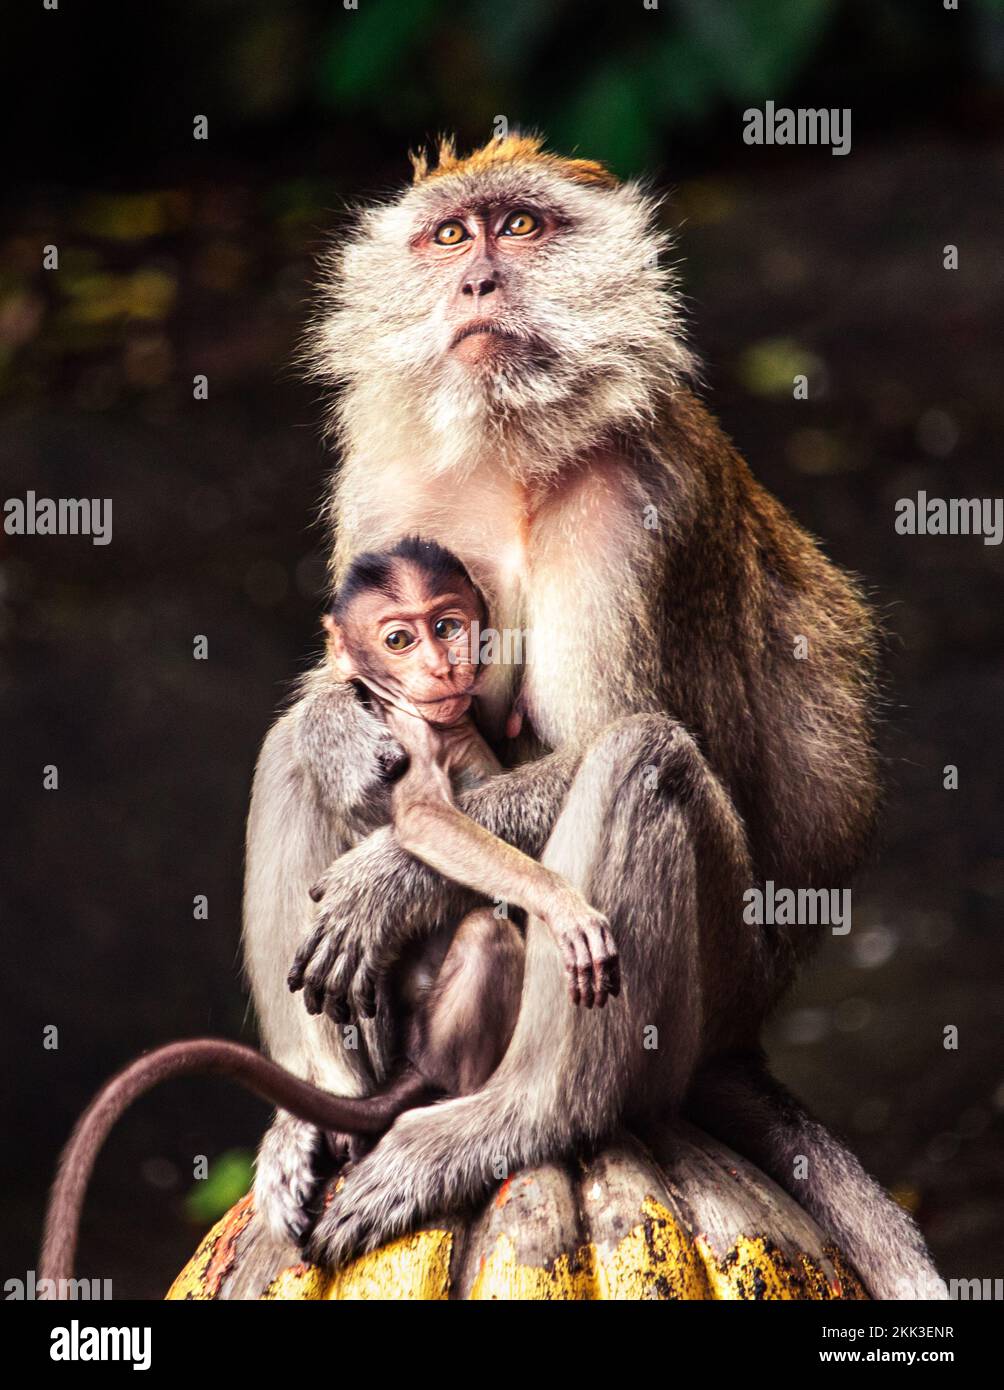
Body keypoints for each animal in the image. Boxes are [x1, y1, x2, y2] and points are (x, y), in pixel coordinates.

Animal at [243, 134, 946, 1298]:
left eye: (520, 228)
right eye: (450, 235)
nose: (478, 282)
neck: (503, 451)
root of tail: (742, 1037)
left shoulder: (630, 507)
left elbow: (616, 731)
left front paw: (388, 881)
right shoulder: (392, 473)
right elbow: (339, 700)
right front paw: (340, 732)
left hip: (708, 988)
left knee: (642, 758)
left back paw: (523, 1118)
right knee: (283, 754)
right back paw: (322, 1116)